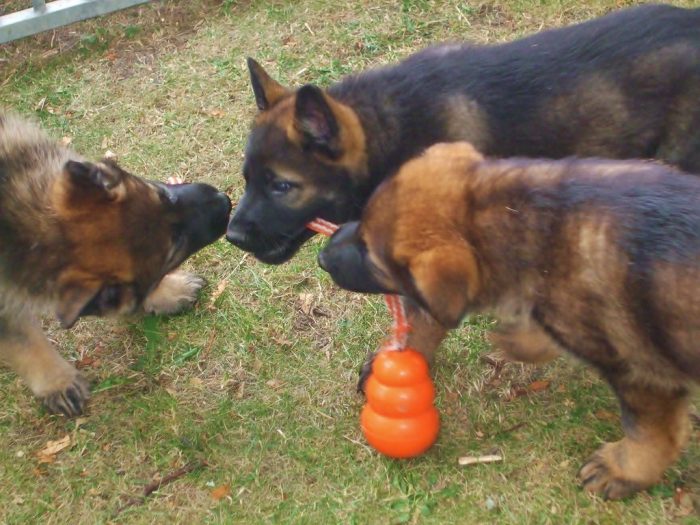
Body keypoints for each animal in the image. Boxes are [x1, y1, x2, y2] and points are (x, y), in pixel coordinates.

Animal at [0, 112, 232, 416]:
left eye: (163, 195)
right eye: (173, 250)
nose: (225, 201)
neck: (29, 228)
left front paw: (167, 291)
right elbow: (22, 341)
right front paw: (58, 382)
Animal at [318, 140, 700, 500]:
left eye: (370, 256)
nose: (321, 256)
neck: (533, 219)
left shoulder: (639, 370)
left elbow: (650, 431)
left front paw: (624, 470)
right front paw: (522, 339)